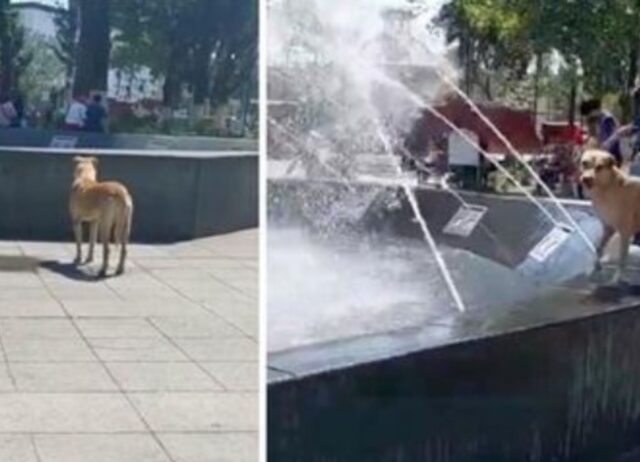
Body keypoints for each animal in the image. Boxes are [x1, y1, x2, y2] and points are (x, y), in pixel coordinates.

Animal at [580, 150, 640, 284]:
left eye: (599, 167)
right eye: (584, 163)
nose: (586, 179)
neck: (608, 188)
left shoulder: (624, 233)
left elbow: (622, 259)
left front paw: (617, 278)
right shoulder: (608, 229)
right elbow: (598, 249)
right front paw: (595, 267)